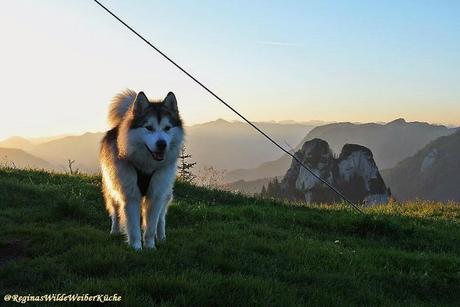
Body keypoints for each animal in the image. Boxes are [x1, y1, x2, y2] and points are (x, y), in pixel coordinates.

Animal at [100, 89, 183, 250]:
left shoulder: (156, 195)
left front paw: (150, 247)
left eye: (167, 128)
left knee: (161, 218)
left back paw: (161, 237)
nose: (162, 144)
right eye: (149, 127)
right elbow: (133, 227)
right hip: (112, 187)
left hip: (165, 193)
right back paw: (114, 231)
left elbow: (151, 226)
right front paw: (137, 248)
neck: (146, 166)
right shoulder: (130, 194)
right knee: (115, 212)